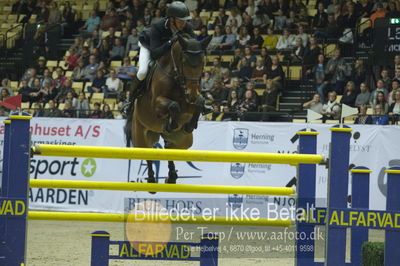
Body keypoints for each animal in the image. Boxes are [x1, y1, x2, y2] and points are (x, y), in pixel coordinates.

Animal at [126, 33, 211, 184]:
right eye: (184, 61)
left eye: (203, 62)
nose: (192, 93)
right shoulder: (156, 103)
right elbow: (173, 106)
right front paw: (171, 123)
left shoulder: (190, 102)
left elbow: (200, 102)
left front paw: (190, 124)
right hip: (140, 136)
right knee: (148, 153)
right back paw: (151, 179)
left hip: (183, 141)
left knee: (169, 148)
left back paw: (171, 176)